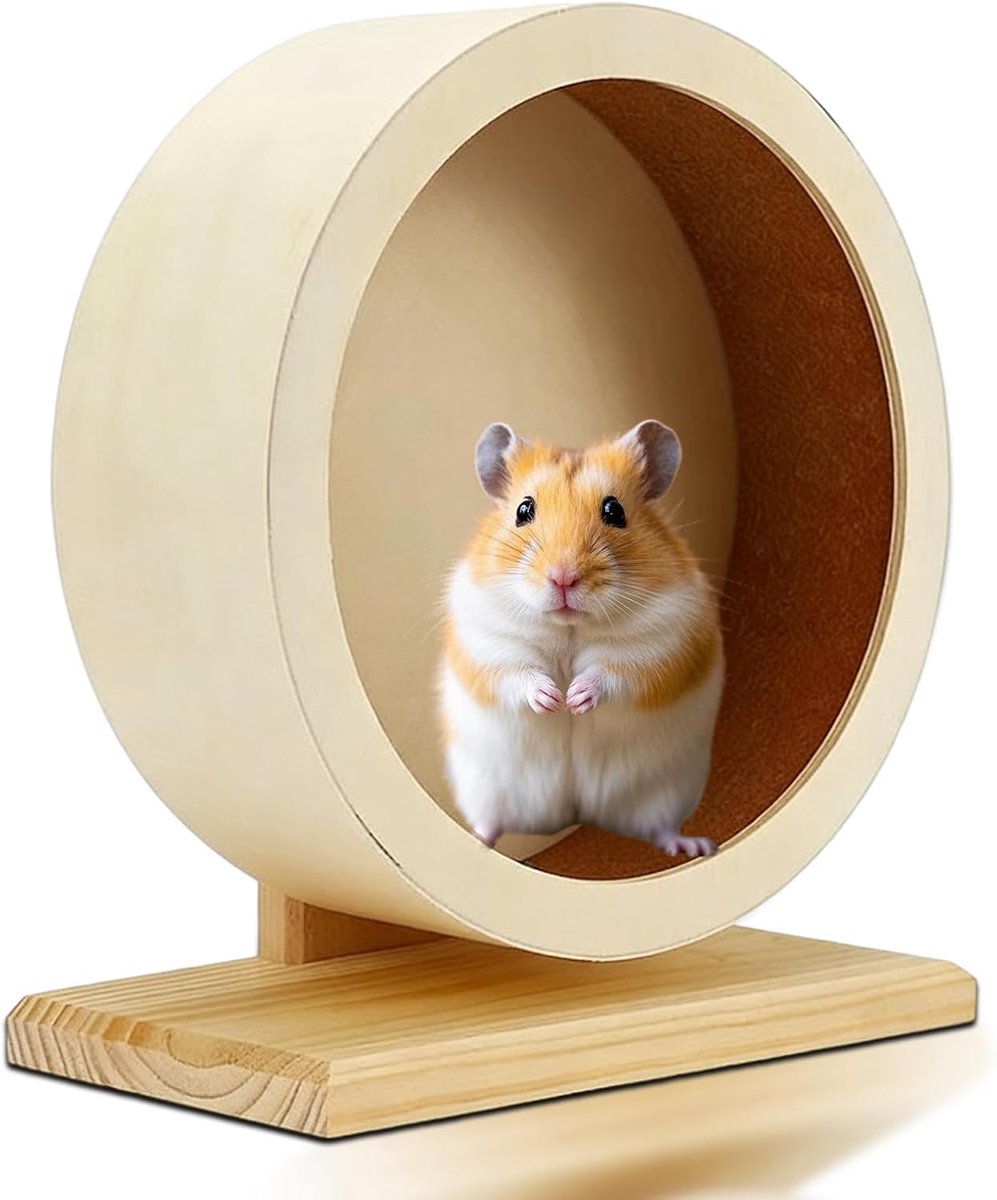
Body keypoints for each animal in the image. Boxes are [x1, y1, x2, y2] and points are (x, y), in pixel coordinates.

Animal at [437, 420, 723, 858]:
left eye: (614, 510)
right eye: (523, 510)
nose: (563, 577)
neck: (569, 626)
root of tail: (575, 816)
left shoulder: (662, 642)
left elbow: (611, 673)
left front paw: (574, 699)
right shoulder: (488, 641)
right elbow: (519, 673)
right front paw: (553, 700)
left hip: (665, 792)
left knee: (660, 828)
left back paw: (696, 847)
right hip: (484, 788)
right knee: (491, 822)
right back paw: (477, 841)